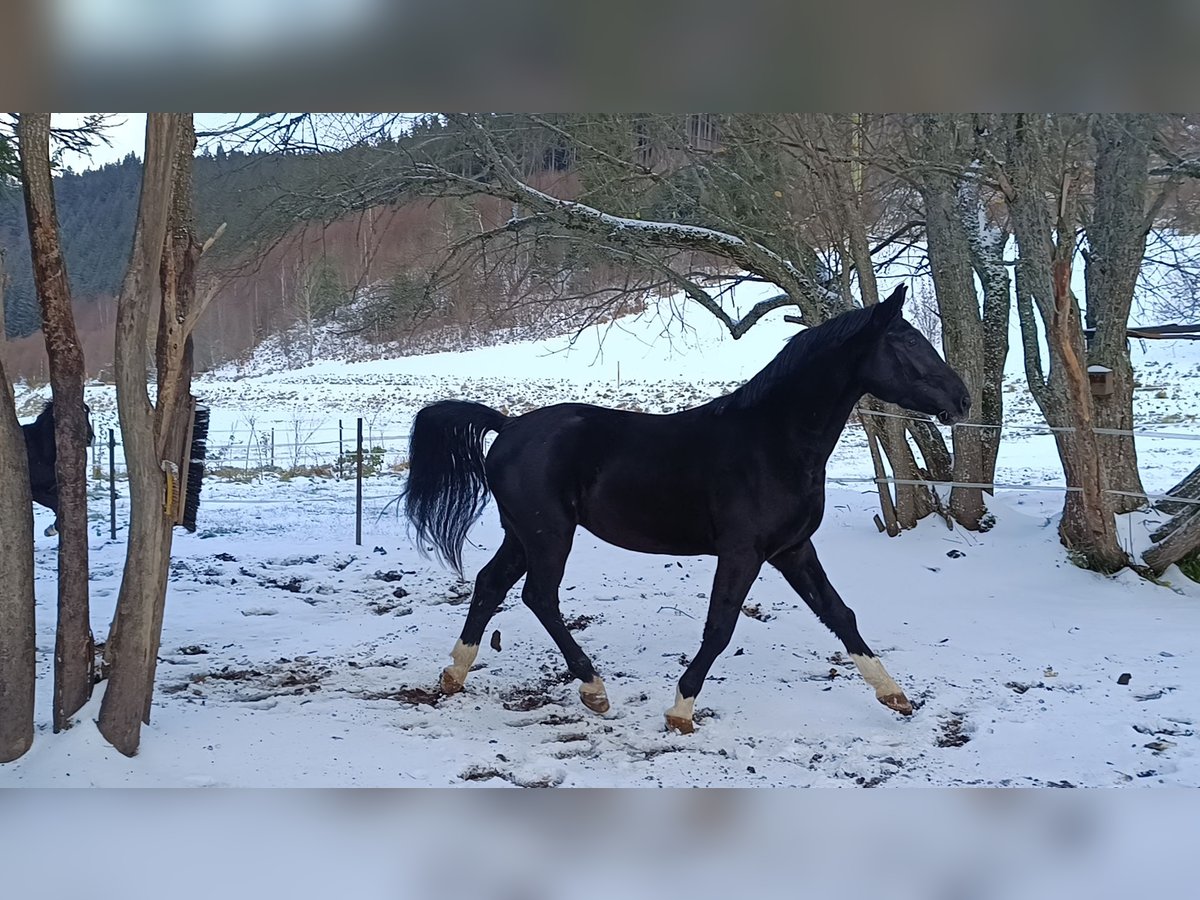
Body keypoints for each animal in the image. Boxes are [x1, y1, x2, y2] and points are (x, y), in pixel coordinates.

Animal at [403, 285, 971, 733]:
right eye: (905, 341)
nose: (962, 400)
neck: (773, 442)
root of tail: (508, 426)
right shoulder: (743, 552)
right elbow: (719, 627)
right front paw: (681, 710)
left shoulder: (792, 549)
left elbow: (839, 614)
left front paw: (895, 696)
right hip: (550, 535)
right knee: (539, 597)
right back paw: (593, 689)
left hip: (522, 535)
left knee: (490, 584)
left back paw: (454, 675)